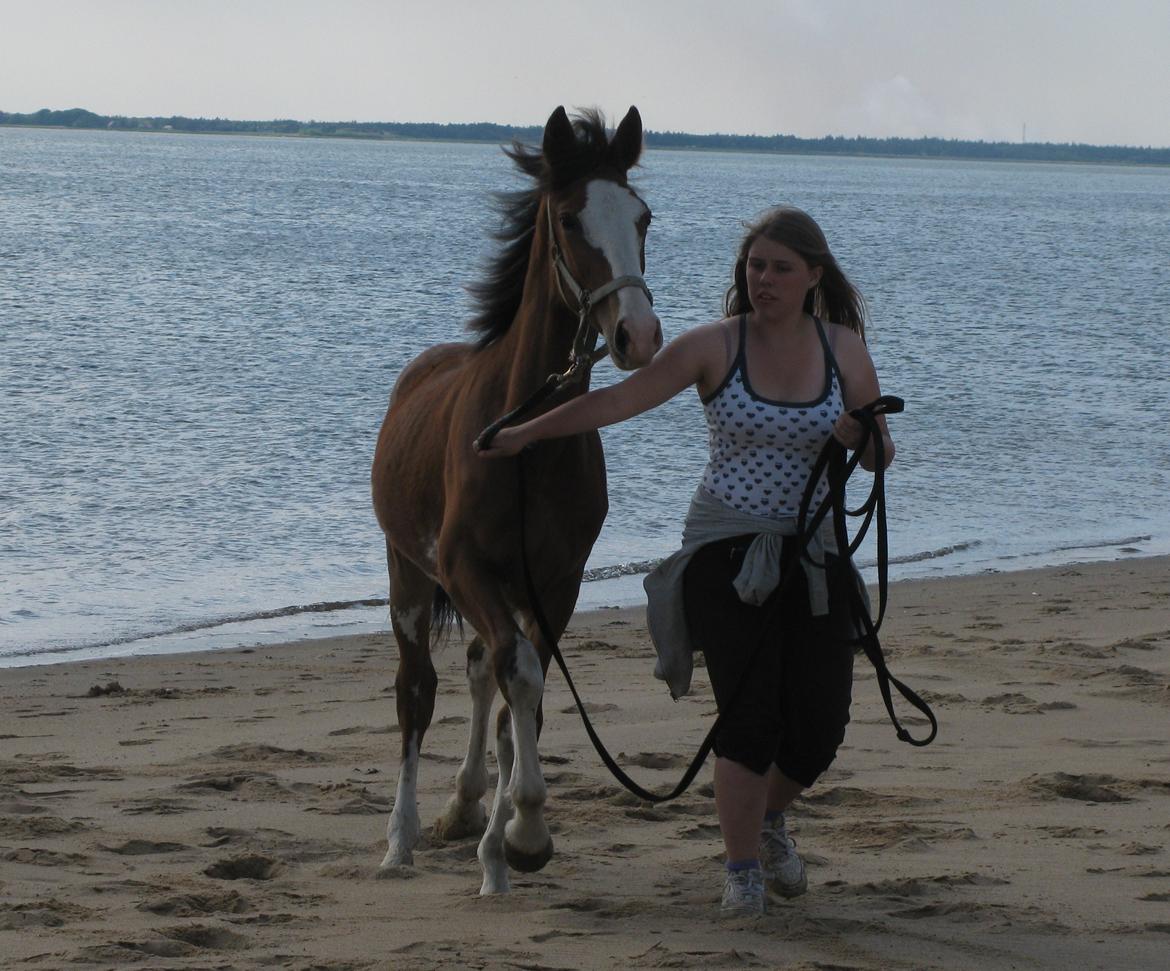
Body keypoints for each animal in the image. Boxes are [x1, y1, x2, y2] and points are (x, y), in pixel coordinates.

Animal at [372, 106, 659, 898]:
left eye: (643, 218)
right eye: (569, 219)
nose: (638, 335)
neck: (527, 438)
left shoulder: (555, 582)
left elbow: (518, 698)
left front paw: (507, 846)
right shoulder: (465, 567)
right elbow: (517, 677)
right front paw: (525, 832)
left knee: (480, 669)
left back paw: (468, 810)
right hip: (408, 573)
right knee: (418, 686)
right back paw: (401, 840)